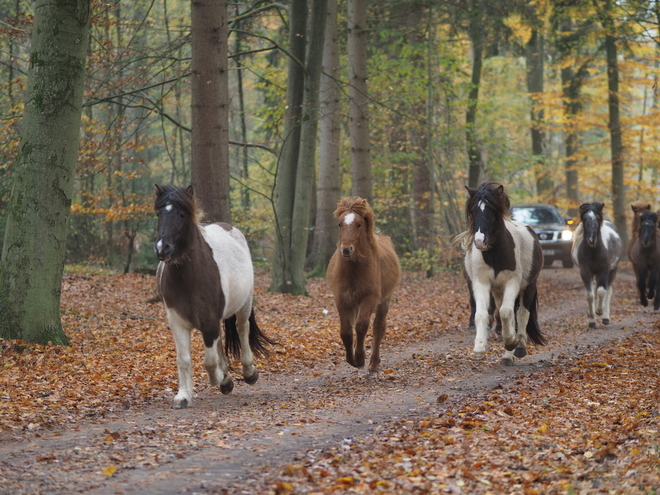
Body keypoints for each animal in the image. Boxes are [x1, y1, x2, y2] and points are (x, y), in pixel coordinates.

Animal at [153, 184, 274, 408]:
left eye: (182, 214)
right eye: (159, 213)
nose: (162, 248)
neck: (189, 279)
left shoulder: (209, 320)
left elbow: (209, 362)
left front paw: (220, 378)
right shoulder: (178, 322)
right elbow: (184, 359)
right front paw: (184, 395)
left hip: (244, 304)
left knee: (242, 329)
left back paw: (248, 372)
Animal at [326, 198, 400, 376]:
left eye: (359, 224)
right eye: (339, 224)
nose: (346, 249)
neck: (354, 271)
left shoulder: (369, 298)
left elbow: (361, 326)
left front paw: (360, 359)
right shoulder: (342, 299)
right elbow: (346, 332)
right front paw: (351, 359)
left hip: (384, 300)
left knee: (378, 327)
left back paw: (373, 364)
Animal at [458, 182, 548, 364]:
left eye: (492, 211)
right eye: (474, 210)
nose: (479, 241)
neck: (495, 255)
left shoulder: (512, 283)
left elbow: (507, 313)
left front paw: (512, 342)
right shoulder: (481, 284)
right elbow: (482, 314)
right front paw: (479, 348)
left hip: (528, 286)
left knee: (521, 313)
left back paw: (518, 347)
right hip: (498, 291)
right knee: (504, 312)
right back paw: (507, 355)